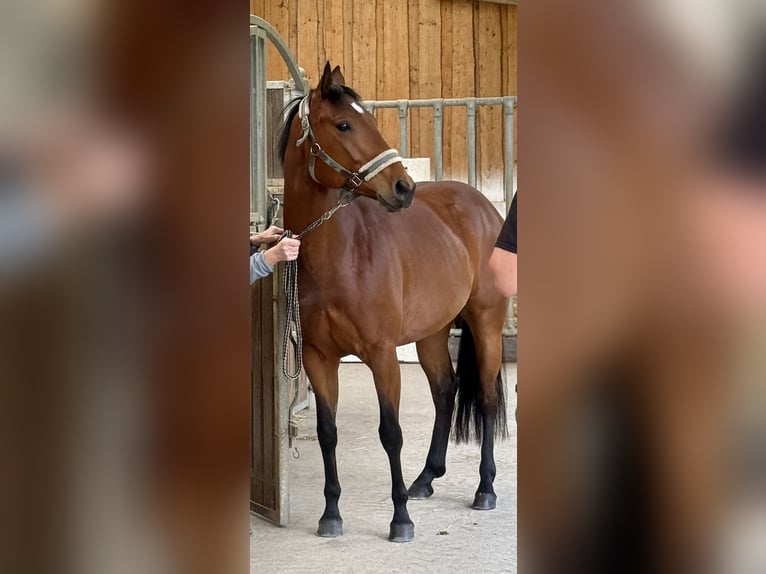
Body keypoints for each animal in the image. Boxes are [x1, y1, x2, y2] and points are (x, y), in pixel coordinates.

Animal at [278, 61, 509, 543]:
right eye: (344, 124)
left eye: (369, 118)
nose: (404, 188)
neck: (340, 257)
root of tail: (482, 207)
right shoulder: (318, 358)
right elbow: (327, 432)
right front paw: (331, 514)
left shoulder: (382, 356)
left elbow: (391, 433)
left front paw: (400, 519)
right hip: (432, 334)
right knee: (445, 391)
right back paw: (426, 478)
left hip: (487, 325)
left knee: (487, 399)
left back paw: (485, 489)